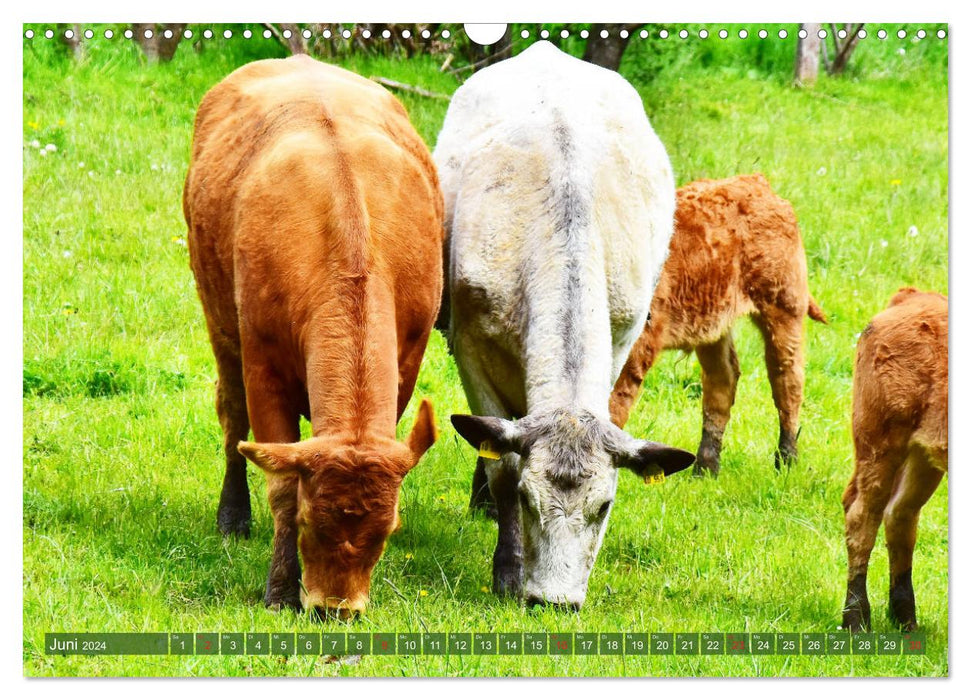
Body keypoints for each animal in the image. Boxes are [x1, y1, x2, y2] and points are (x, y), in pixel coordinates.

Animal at [182, 58, 444, 616]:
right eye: (307, 522)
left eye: (390, 529)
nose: (336, 610)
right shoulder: (263, 368)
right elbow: (279, 482)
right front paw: (281, 587)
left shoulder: (406, 363)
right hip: (218, 320)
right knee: (231, 417)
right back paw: (232, 516)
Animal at [440, 42, 700, 608]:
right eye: (528, 499)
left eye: (604, 506)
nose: (553, 601)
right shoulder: (468, 345)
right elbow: (501, 460)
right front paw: (508, 570)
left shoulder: (622, 336)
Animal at [608, 174, 828, 476]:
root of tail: (757, 183)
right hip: (713, 325)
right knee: (722, 380)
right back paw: (705, 468)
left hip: (784, 308)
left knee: (787, 383)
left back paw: (786, 460)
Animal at [844, 288, 948, 632]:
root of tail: (913, 296)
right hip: (880, 442)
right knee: (862, 516)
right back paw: (856, 619)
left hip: (923, 455)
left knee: (900, 514)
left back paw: (905, 618)